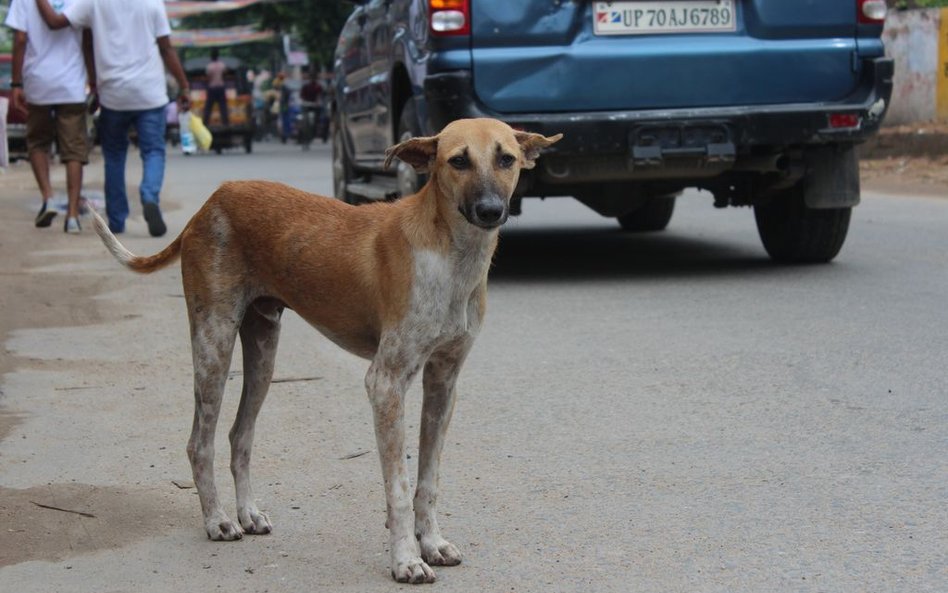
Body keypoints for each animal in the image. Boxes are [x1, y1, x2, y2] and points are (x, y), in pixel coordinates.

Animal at [89, 117, 560, 584]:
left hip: (263, 354)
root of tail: (210, 203)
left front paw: (432, 543)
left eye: (506, 159)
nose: (490, 211)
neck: (449, 255)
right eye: (458, 161)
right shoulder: (386, 383)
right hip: (213, 346)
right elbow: (399, 487)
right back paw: (217, 519)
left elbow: (428, 481)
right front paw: (406, 559)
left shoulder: (443, 382)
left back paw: (247, 513)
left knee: (239, 436)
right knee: (198, 443)